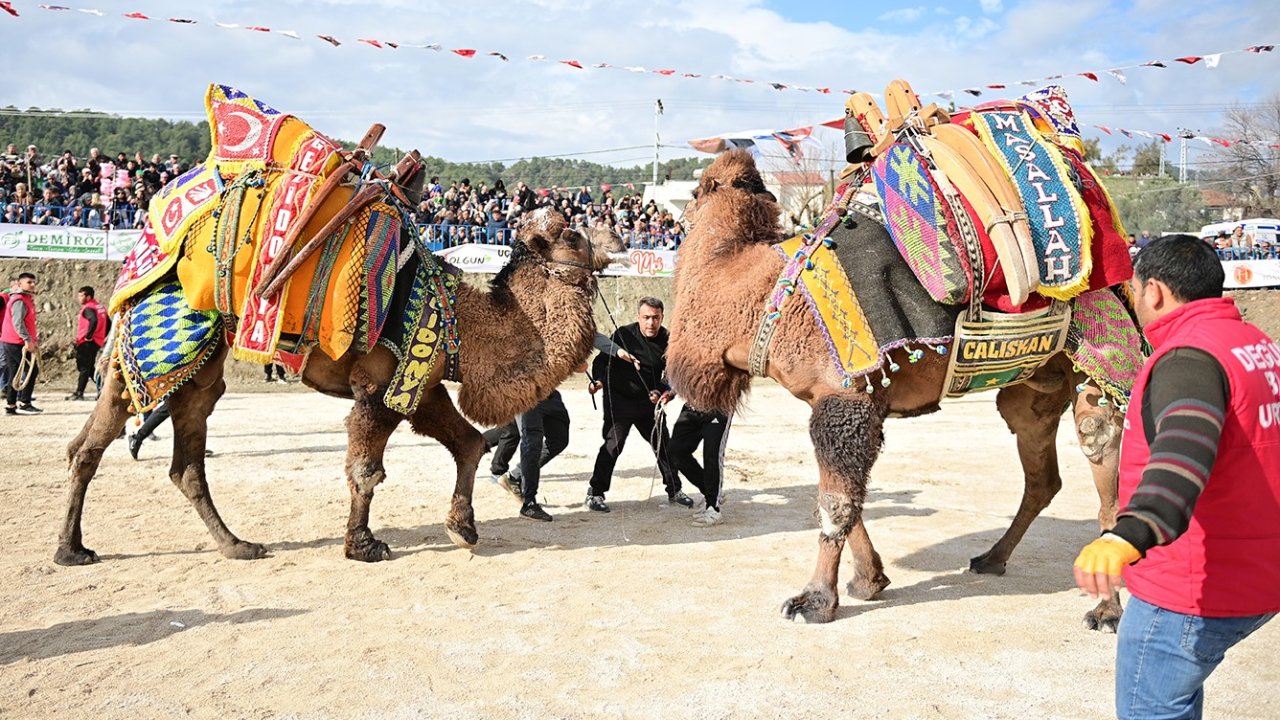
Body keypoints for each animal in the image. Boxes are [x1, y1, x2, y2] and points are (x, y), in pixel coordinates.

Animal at [57, 83, 622, 563]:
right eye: (573, 234)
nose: (616, 237)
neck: (460, 319)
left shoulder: (419, 381)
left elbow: (469, 443)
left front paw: (462, 527)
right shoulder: (377, 383)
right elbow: (367, 470)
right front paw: (363, 544)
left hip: (185, 360)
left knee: (168, 457)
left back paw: (225, 545)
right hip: (163, 336)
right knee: (110, 441)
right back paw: (79, 548)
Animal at [665, 81, 1146, 625]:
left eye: (694, 197)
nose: (680, 215)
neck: (763, 292)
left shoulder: (844, 398)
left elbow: (834, 503)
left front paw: (814, 599)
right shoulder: (841, 403)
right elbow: (844, 499)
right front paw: (869, 580)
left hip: (1100, 361)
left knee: (1101, 452)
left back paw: (1106, 609)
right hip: (1033, 387)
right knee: (1042, 475)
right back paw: (991, 558)